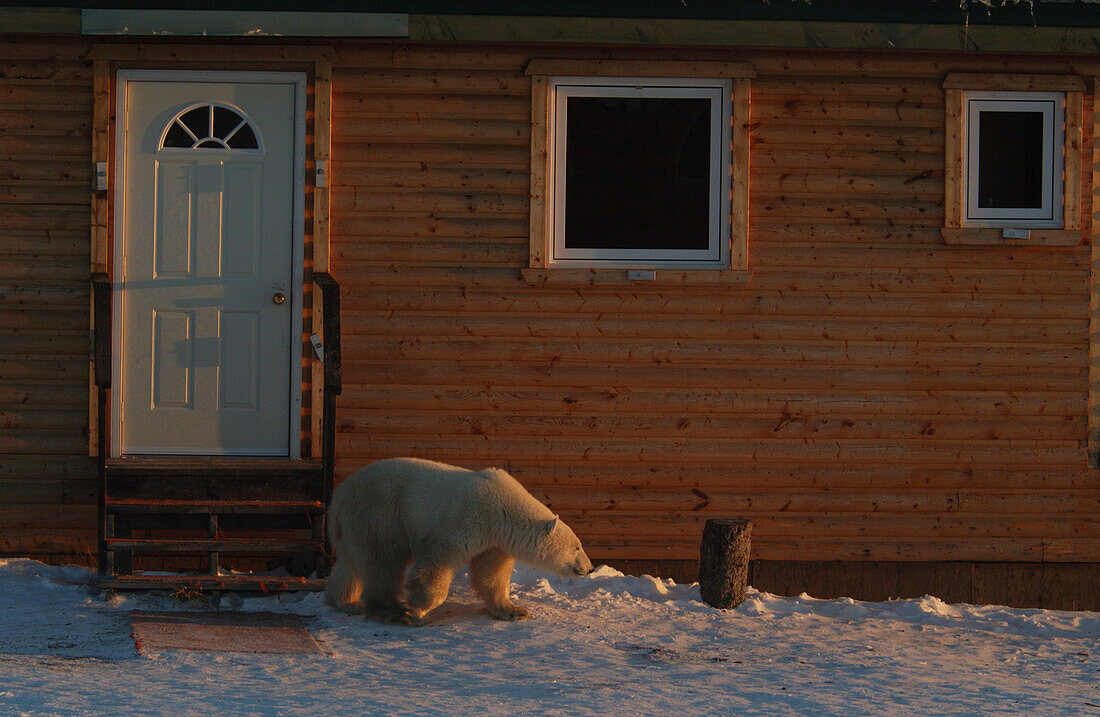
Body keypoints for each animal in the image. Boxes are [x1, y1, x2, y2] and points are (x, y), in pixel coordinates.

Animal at [321, 459, 589, 620]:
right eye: (577, 546)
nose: (588, 568)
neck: (503, 508)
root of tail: (339, 498)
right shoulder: (466, 518)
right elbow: (438, 561)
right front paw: (415, 610)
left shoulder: (494, 540)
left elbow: (491, 573)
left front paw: (514, 610)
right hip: (380, 514)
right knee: (384, 559)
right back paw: (389, 606)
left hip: (355, 524)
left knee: (350, 564)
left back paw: (346, 602)